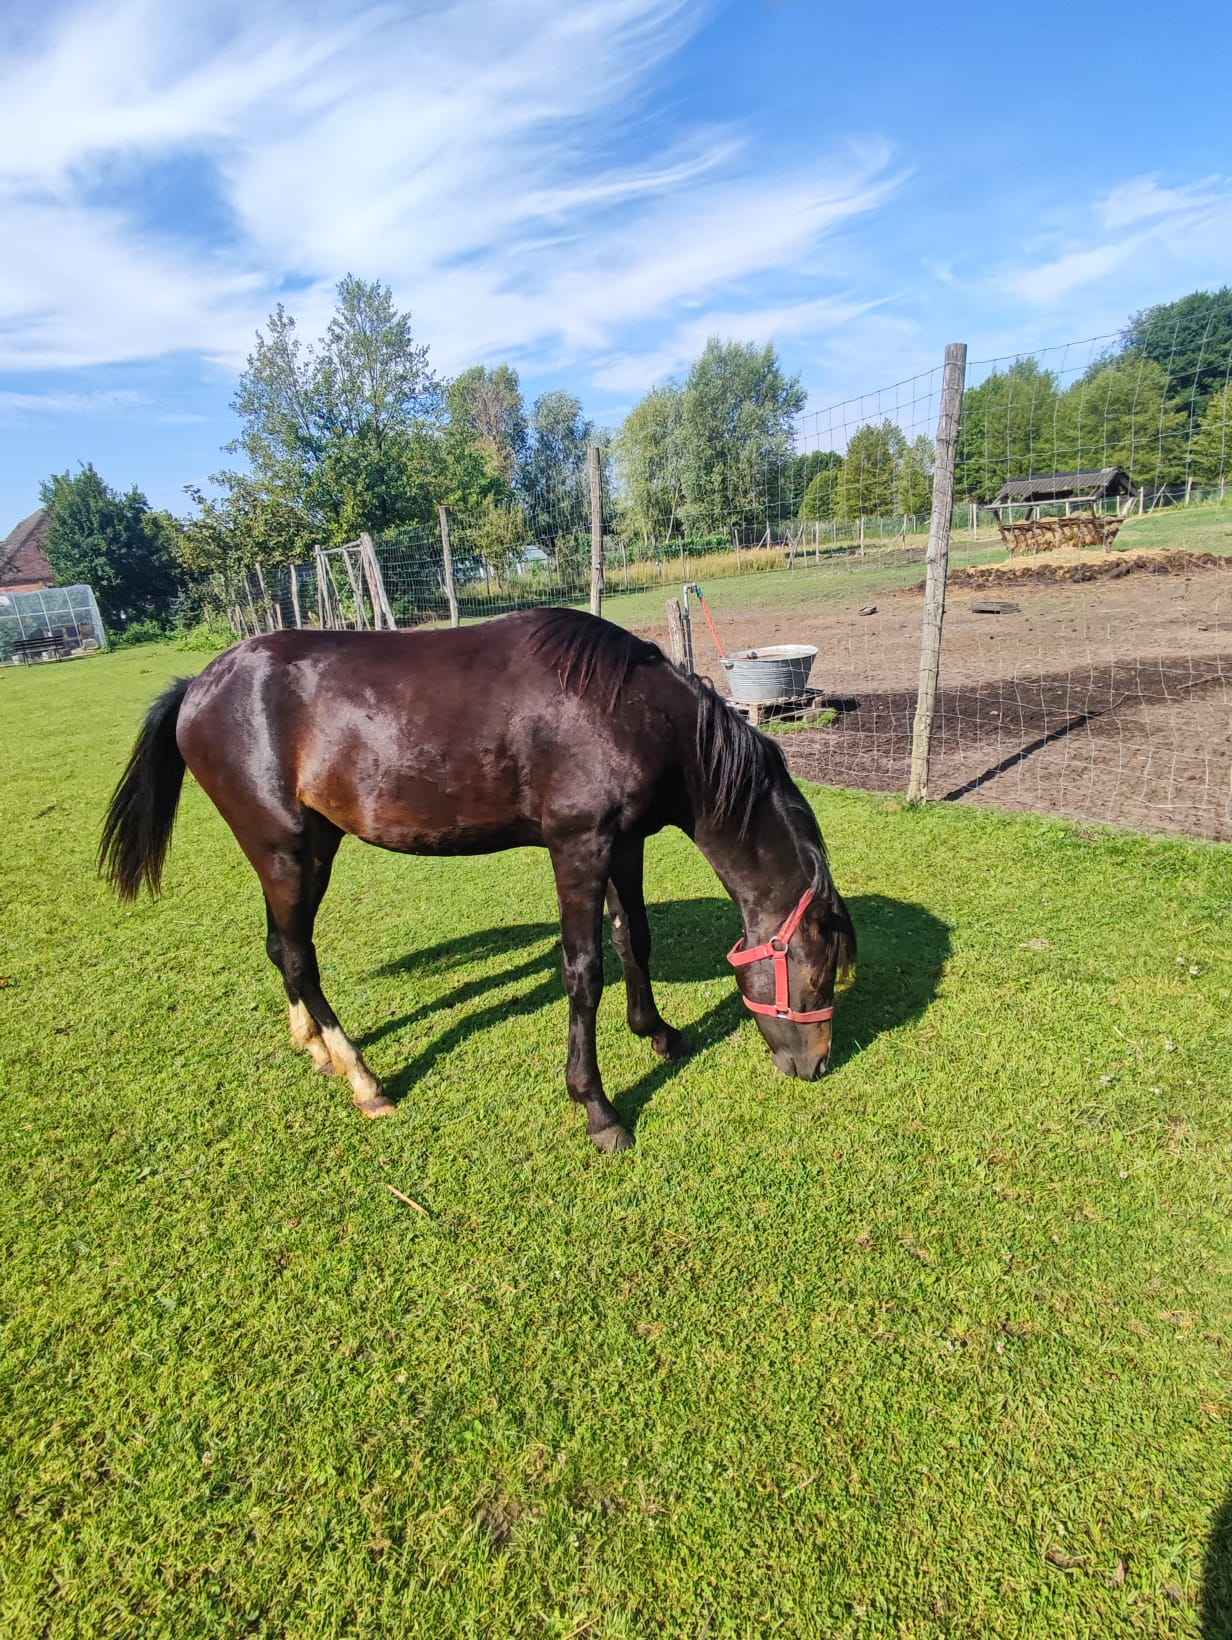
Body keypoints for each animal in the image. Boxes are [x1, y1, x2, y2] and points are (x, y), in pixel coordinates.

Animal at [101, 606, 853, 1154]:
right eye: (818, 970)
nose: (817, 1065)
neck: (629, 712)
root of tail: (198, 685)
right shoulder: (578, 846)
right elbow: (584, 971)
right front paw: (598, 1108)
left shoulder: (625, 843)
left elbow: (633, 936)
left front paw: (658, 1033)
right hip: (285, 850)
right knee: (298, 957)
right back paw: (363, 1079)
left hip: (301, 850)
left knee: (280, 947)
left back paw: (312, 1047)